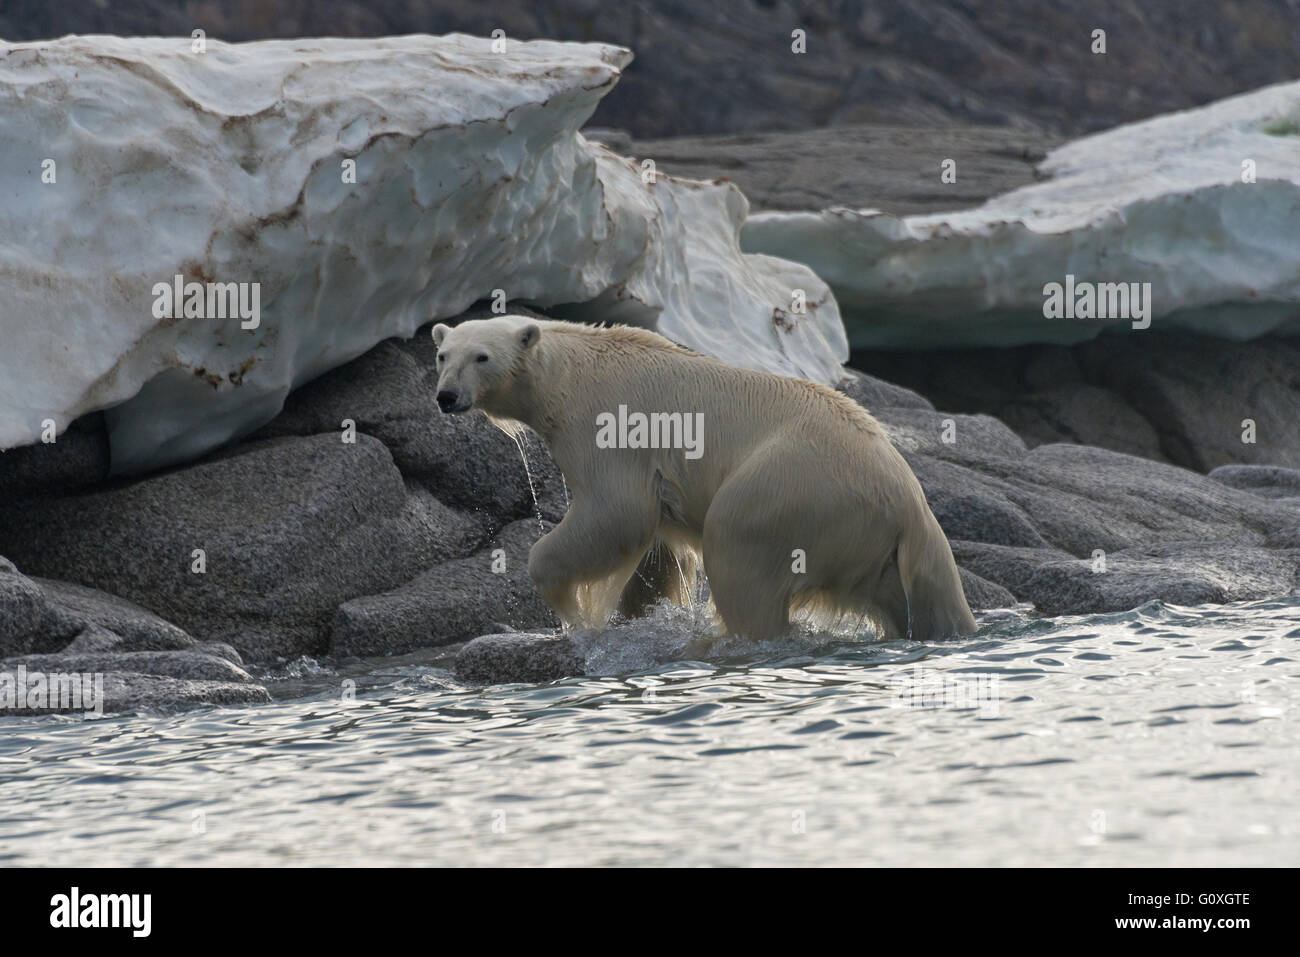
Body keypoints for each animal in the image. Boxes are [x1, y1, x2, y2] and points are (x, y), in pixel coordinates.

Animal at [428, 315, 977, 642]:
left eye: (481, 356)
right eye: (442, 355)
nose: (447, 396)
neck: (570, 374)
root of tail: (906, 498)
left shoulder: (606, 430)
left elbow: (616, 514)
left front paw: (573, 612)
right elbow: (654, 546)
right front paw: (630, 612)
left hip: (793, 488)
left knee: (737, 547)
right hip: (884, 547)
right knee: (929, 598)